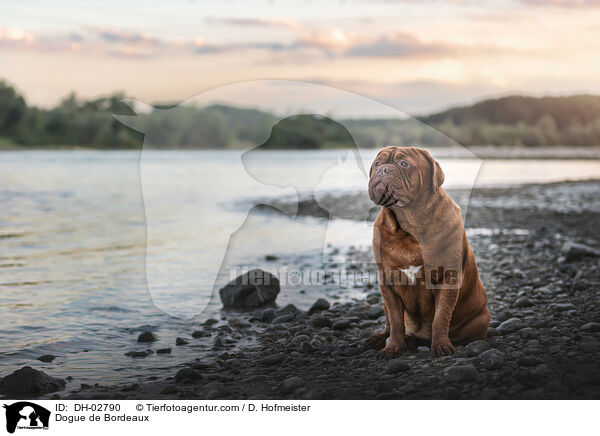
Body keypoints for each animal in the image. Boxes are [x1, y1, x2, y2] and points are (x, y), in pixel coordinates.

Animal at [366, 146, 488, 358]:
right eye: (377, 164)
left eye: (404, 164)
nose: (383, 170)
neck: (409, 228)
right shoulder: (387, 282)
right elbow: (396, 320)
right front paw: (393, 347)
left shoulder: (448, 278)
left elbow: (441, 316)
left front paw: (441, 345)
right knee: (389, 323)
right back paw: (380, 339)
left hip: (480, 320)